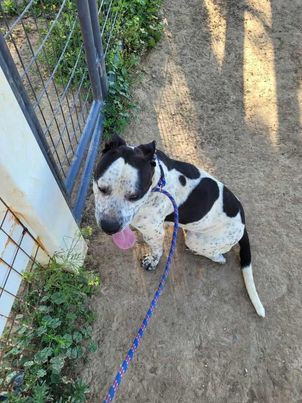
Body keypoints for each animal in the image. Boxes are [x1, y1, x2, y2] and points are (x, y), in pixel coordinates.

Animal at [93, 136, 266, 318]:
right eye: (101, 188)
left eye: (134, 196)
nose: (109, 227)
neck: (157, 183)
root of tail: (243, 225)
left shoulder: (154, 232)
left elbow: (157, 250)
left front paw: (152, 262)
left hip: (197, 240)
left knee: (219, 258)